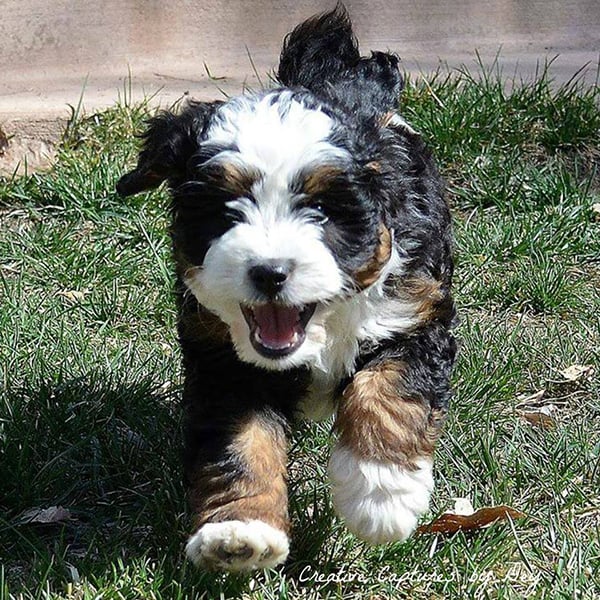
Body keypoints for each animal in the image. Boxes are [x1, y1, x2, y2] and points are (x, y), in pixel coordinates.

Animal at [116, 5, 454, 572]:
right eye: (224, 211)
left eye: (321, 209)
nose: (270, 272)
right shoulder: (223, 361)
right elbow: (240, 442)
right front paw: (238, 532)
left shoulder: (416, 316)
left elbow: (385, 392)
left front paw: (380, 496)